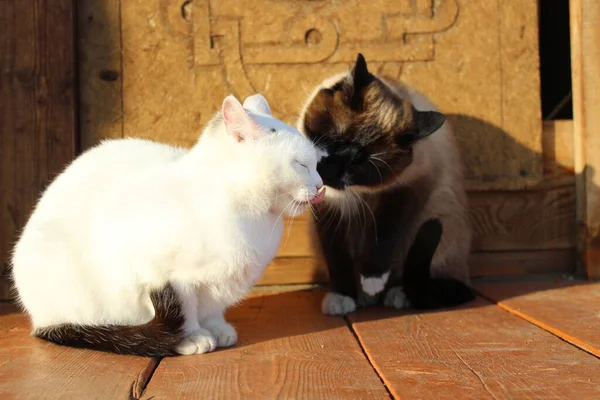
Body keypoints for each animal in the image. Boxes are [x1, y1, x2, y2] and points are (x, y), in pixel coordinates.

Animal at [10, 94, 324, 356]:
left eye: (316, 164)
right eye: (301, 165)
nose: (320, 185)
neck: (250, 214)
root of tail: (37, 321)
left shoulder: (221, 283)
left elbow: (212, 308)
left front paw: (216, 328)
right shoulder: (167, 275)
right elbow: (187, 311)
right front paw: (192, 337)